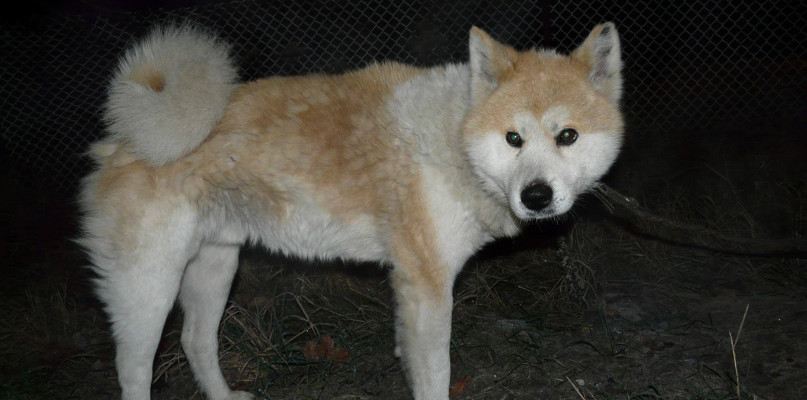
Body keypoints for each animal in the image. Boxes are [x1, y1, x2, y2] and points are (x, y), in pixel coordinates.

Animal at [80, 21, 624, 400]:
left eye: (567, 136)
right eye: (514, 139)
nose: (536, 196)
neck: (453, 140)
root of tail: (122, 142)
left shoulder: (414, 292)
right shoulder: (426, 285)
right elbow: (436, 376)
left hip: (214, 267)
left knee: (196, 341)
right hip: (148, 289)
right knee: (133, 372)